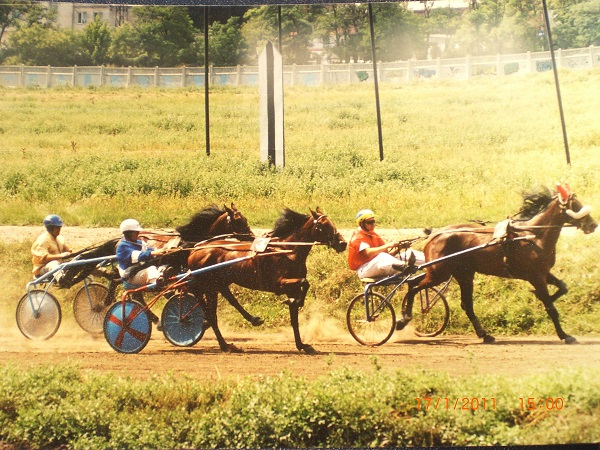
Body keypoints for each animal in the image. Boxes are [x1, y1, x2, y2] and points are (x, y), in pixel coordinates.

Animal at [186, 207, 347, 354]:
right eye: (323, 225)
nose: (343, 243)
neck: (287, 251)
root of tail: (195, 249)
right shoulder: (279, 284)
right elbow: (304, 282)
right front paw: (295, 301)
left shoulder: (291, 289)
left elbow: (295, 319)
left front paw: (302, 345)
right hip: (209, 286)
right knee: (210, 313)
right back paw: (223, 343)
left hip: (218, 284)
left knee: (222, 305)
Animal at [398, 184, 597, 344]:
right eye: (575, 205)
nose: (593, 225)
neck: (533, 236)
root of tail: (434, 235)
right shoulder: (536, 277)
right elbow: (551, 308)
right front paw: (565, 335)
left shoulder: (543, 273)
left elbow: (562, 287)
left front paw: (547, 297)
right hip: (439, 273)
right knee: (414, 287)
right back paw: (403, 319)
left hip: (461, 274)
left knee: (462, 303)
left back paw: (485, 335)